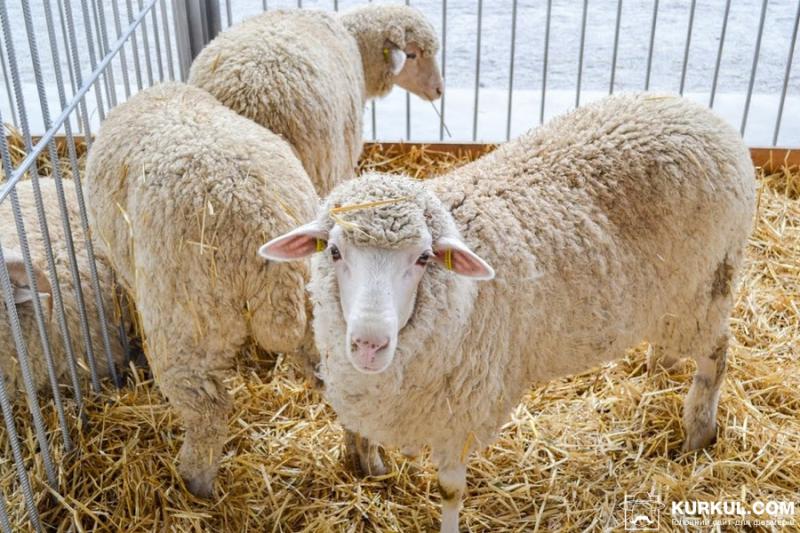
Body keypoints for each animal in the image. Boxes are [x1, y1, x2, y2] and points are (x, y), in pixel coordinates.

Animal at [262, 93, 756, 528]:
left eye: (423, 258)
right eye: (334, 251)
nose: (369, 343)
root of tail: (706, 117)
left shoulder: (461, 412)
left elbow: (450, 492)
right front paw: (370, 470)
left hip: (707, 287)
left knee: (717, 356)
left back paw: (698, 432)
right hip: (672, 298)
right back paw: (660, 368)